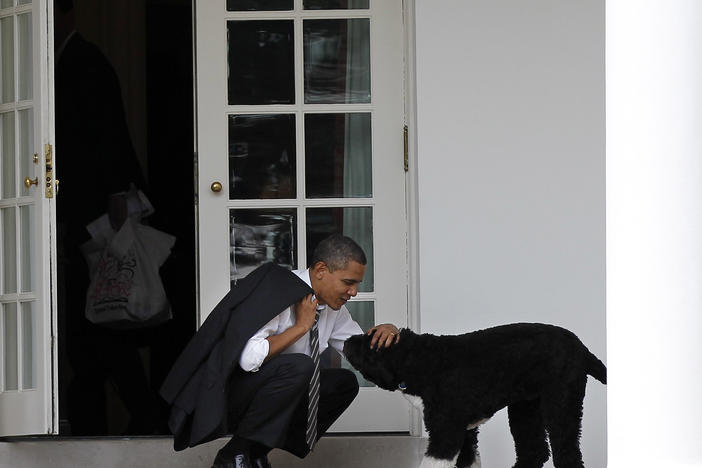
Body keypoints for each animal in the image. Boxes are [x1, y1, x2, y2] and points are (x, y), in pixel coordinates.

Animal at [344, 324, 608, 468]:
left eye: (369, 343)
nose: (346, 341)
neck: (420, 359)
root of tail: (582, 349)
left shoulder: (446, 432)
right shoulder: (466, 434)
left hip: (561, 403)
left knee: (568, 454)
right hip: (525, 408)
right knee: (534, 451)